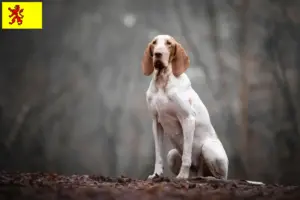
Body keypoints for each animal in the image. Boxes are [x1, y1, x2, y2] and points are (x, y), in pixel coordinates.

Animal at [142, 34, 229, 180]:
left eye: (169, 43)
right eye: (154, 43)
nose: (158, 54)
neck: (162, 82)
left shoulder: (188, 119)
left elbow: (187, 155)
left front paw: (182, 176)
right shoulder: (156, 122)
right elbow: (158, 154)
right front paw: (156, 174)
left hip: (208, 148)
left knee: (222, 178)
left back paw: (207, 178)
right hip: (172, 154)